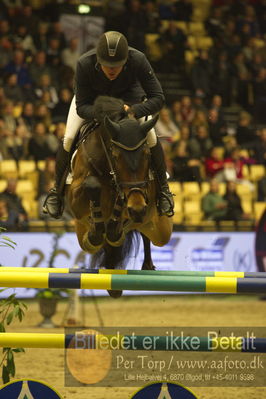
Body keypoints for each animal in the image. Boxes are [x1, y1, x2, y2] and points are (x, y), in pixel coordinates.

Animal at [67, 96, 174, 296]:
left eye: (147, 154)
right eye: (116, 155)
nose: (138, 209)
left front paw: (115, 220)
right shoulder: (76, 200)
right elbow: (92, 185)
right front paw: (99, 228)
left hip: (160, 229)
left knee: (144, 235)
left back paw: (145, 264)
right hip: (80, 230)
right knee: (93, 242)